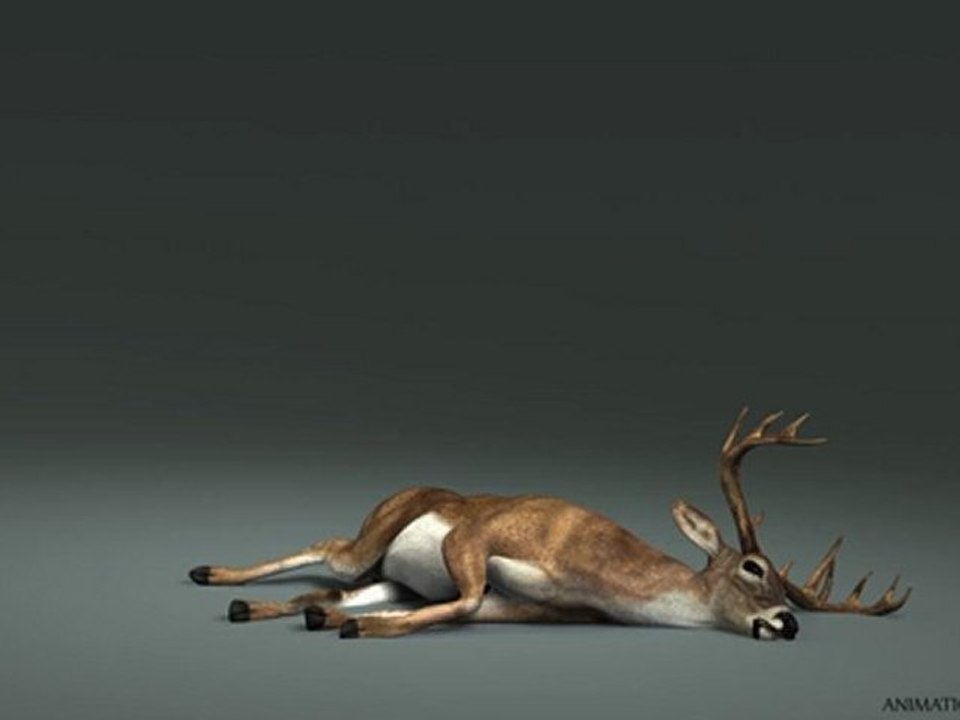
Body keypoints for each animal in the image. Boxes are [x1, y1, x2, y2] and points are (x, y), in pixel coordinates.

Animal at [188, 408, 910, 640]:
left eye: (791, 594)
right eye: (754, 568)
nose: (787, 623)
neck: (602, 577)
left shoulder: (536, 608)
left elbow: (462, 605)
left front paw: (341, 623)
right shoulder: (478, 535)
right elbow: (466, 594)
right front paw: (355, 630)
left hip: (393, 573)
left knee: (330, 587)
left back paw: (265, 607)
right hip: (373, 537)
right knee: (327, 549)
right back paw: (210, 573)